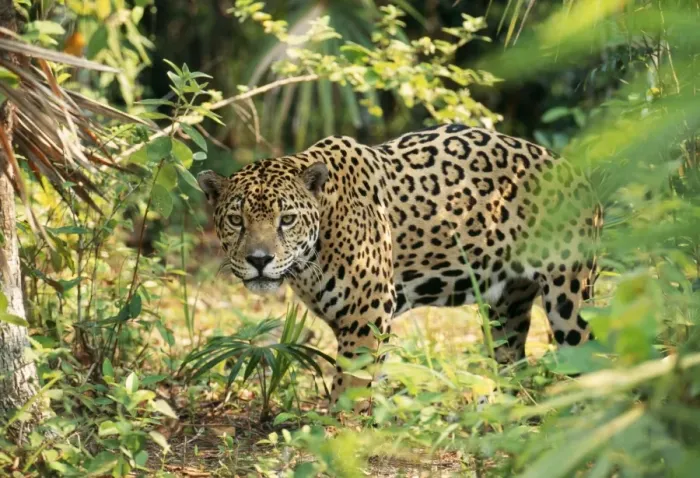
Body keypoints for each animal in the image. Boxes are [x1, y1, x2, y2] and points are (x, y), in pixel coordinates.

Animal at [197, 123, 603, 410]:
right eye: (237, 220)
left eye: (287, 220)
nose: (259, 260)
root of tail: (580, 175)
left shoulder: (367, 309)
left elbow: (351, 385)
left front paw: (335, 432)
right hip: (507, 308)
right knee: (512, 359)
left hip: (569, 298)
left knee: (590, 351)